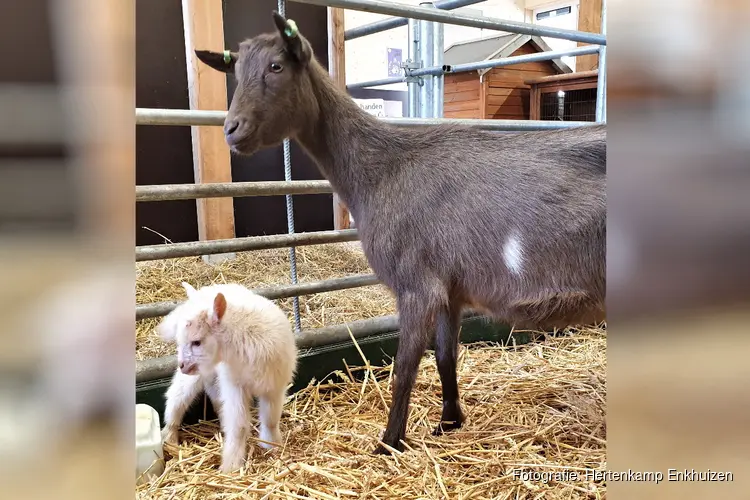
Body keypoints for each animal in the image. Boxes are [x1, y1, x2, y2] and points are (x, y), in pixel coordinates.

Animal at [197, 10, 608, 458]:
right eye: (236, 72)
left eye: (276, 67)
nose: (232, 129)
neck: (382, 166)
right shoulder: (449, 289)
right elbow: (445, 356)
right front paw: (449, 422)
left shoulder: (416, 285)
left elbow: (404, 368)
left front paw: (388, 444)